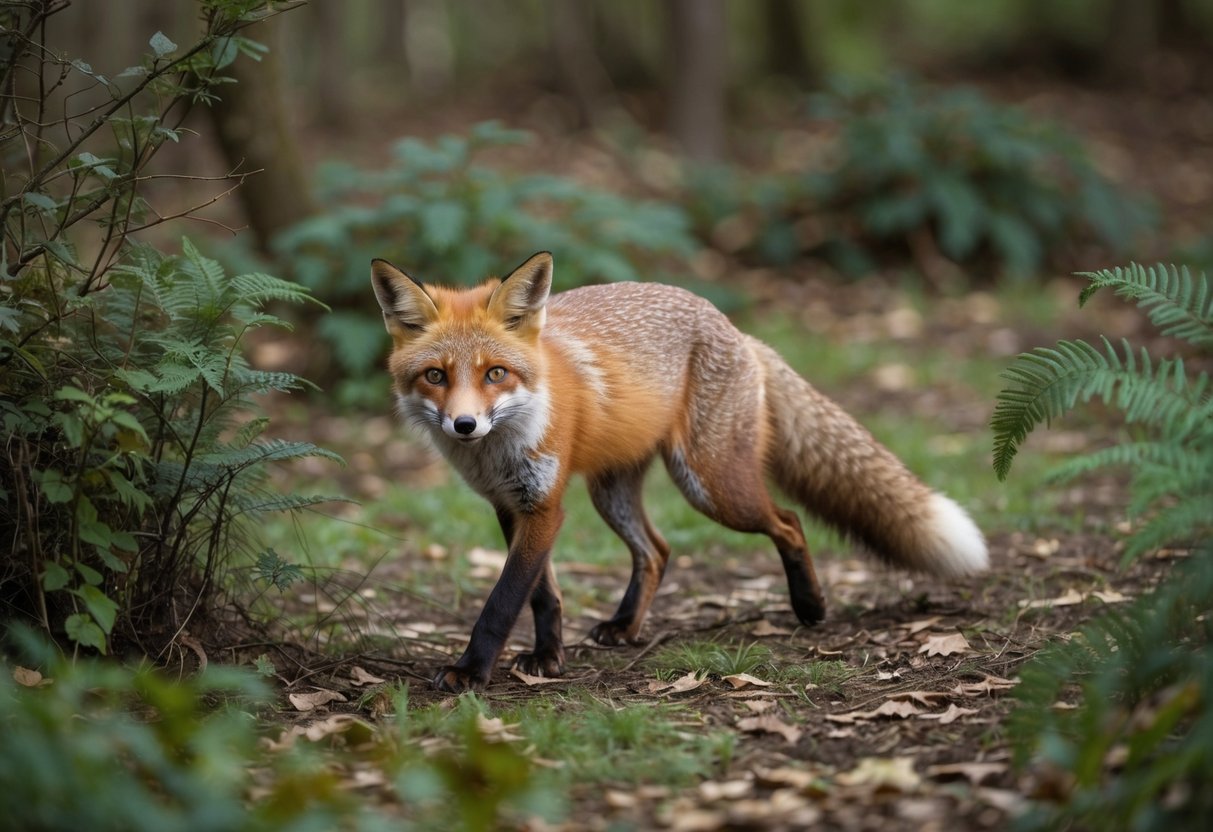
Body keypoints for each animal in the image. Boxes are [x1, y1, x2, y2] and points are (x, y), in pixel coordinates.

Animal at [371, 251, 988, 693]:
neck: (498, 449)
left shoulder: (544, 505)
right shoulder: (511, 505)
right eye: (435, 376)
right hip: (613, 493)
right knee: (658, 550)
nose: (464, 425)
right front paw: (548, 657)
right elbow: (543, 593)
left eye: (495, 372)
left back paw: (810, 606)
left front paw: (472, 672)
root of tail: (737, 330)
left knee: (787, 521)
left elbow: (503, 601)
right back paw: (625, 626)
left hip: (711, 486)